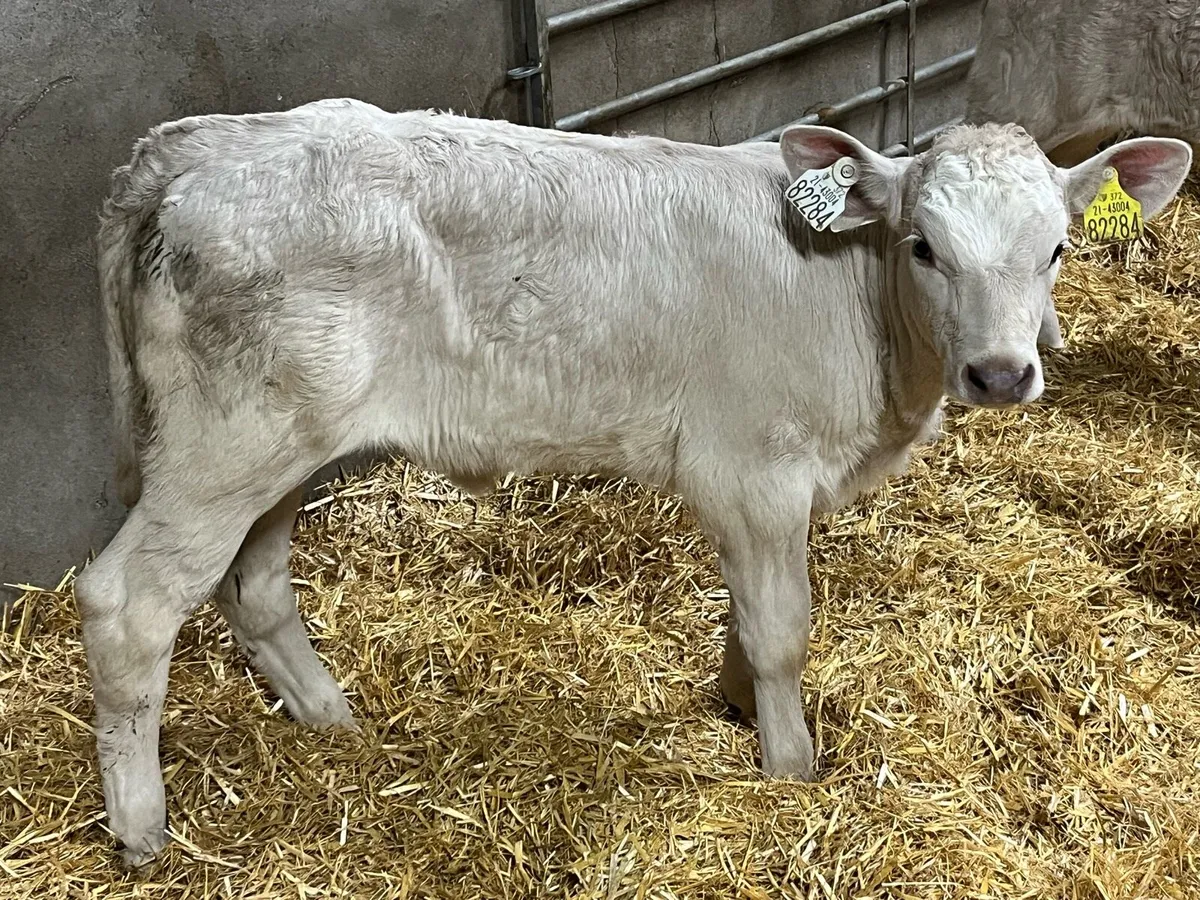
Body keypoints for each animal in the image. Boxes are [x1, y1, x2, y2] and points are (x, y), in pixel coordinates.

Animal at [75, 98, 1191, 866]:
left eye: (1057, 250)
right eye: (924, 246)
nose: (1001, 373)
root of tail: (196, 145)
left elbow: (750, 618)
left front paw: (737, 703)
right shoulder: (753, 470)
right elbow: (783, 628)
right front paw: (790, 766)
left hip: (284, 450)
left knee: (253, 585)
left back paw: (331, 720)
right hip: (227, 444)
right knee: (129, 604)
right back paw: (142, 831)